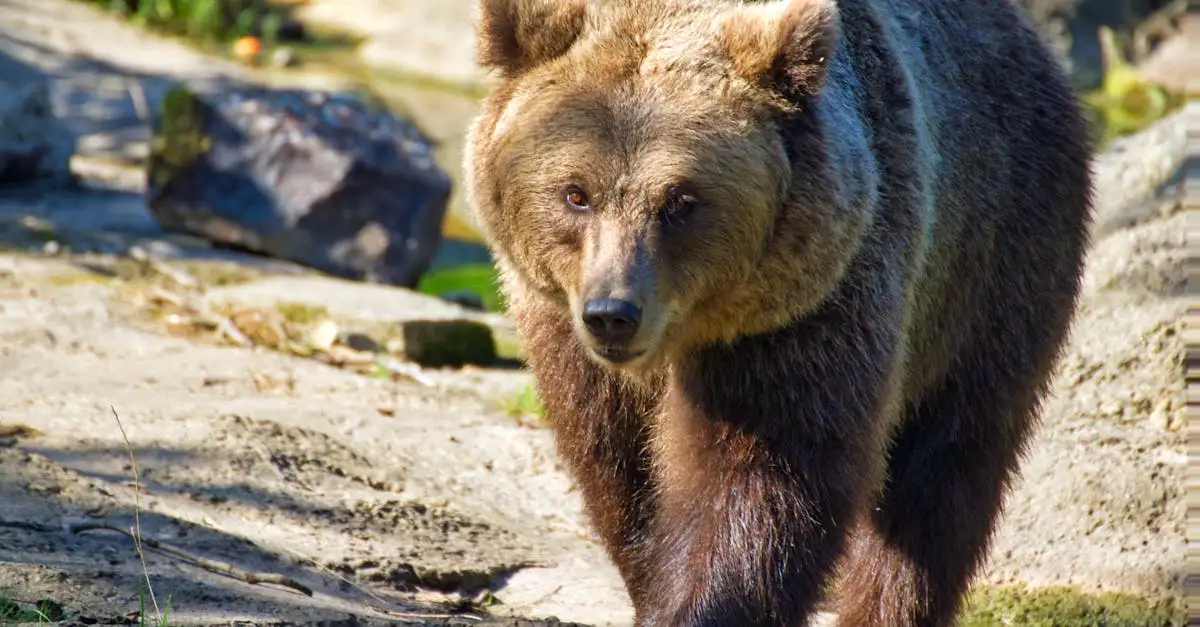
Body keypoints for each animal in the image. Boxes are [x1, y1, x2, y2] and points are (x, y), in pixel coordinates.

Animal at [463, 0, 1094, 625]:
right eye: (575, 193)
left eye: (681, 201)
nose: (613, 313)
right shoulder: (565, 337)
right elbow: (616, 468)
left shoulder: (807, 307)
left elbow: (763, 475)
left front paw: (704, 603)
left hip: (991, 263)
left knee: (943, 471)